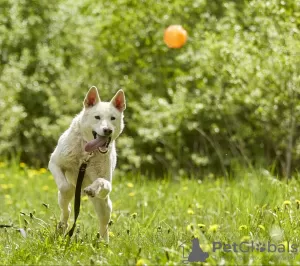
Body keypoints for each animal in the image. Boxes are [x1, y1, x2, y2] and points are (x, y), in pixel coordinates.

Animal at [48, 87, 126, 241]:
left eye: (113, 118)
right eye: (97, 117)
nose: (108, 130)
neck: (87, 153)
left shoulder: (107, 184)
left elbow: (101, 181)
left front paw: (91, 189)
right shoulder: (54, 163)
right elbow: (65, 187)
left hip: (105, 205)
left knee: (104, 224)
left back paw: (103, 242)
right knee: (66, 210)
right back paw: (62, 227)